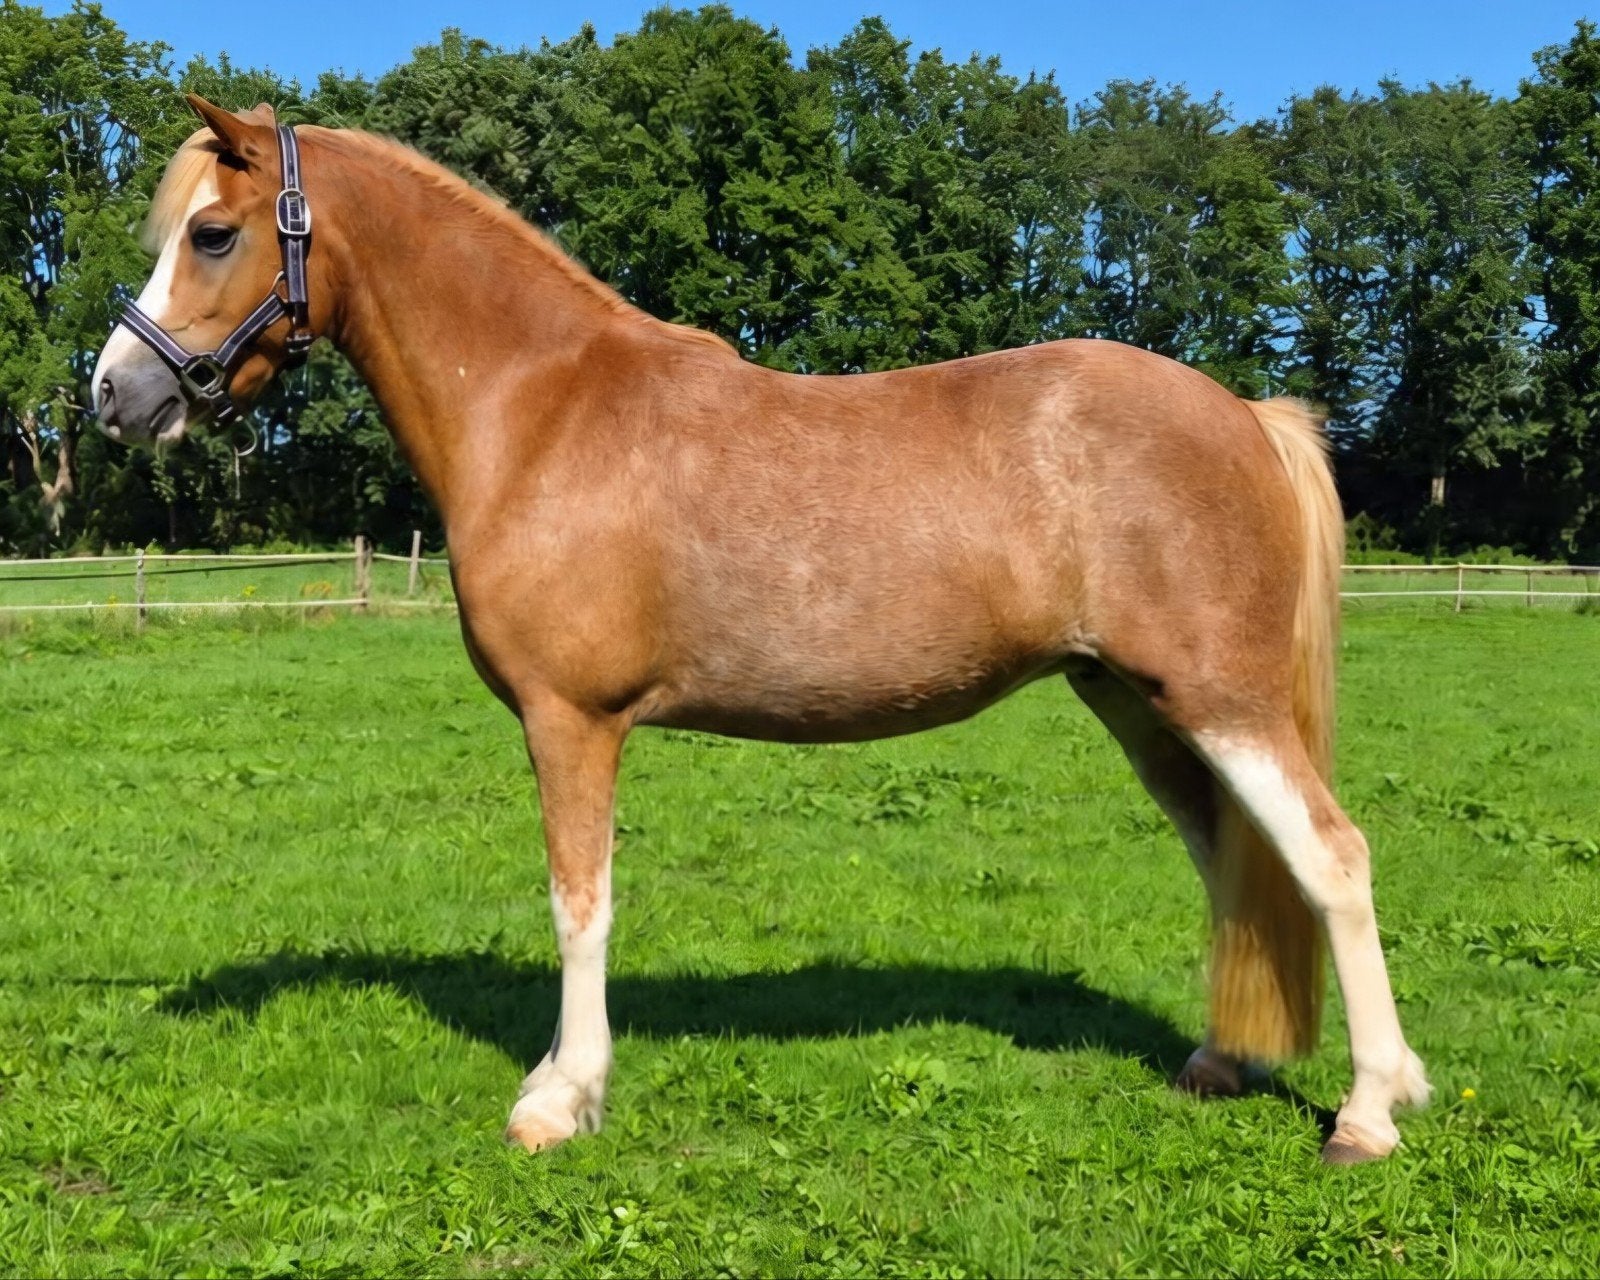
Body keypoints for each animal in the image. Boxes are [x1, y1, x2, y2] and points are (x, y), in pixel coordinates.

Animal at [91, 96, 1429, 1164]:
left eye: (214, 233)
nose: (114, 392)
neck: (542, 407)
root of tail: (1244, 414)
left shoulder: (572, 722)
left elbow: (580, 905)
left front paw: (560, 1097)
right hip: (1139, 703)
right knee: (1236, 862)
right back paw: (1231, 1061)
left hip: (1220, 699)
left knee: (1331, 857)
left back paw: (1369, 1110)